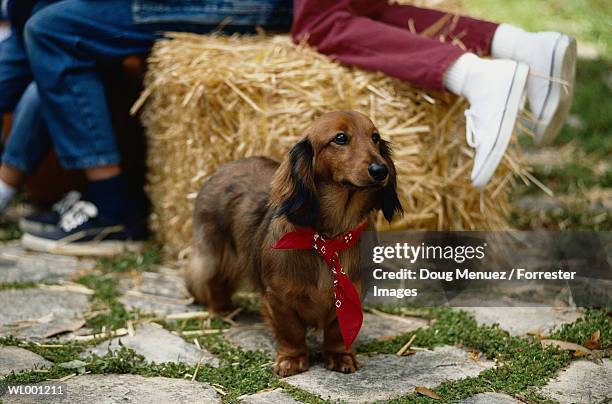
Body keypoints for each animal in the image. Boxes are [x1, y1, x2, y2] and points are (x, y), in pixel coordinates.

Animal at [189, 110, 404, 376]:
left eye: (375, 137)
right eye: (340, 138)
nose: (380, 170)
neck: (329, 239)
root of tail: (224, 167)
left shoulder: (350, 297)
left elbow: (337, 332)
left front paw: (340, 356)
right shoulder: (279, 299)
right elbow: (290, 331)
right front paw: (292, 359)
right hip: (216, 256)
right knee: (214, 282)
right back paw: (223, 311)